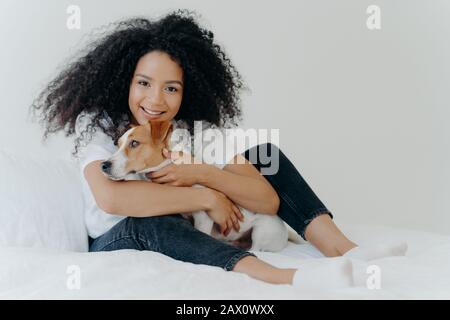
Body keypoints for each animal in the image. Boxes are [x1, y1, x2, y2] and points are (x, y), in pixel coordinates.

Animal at [100, 120, 300, 252]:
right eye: (118, 145)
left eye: (134, 143)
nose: (104, 165)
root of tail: (285, 231)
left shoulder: (203, 218)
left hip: (262, 231)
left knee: (256, 249)